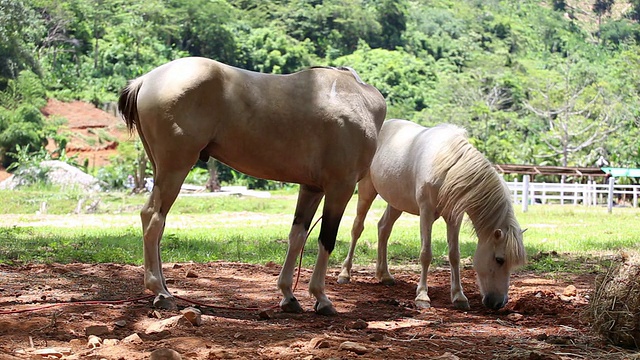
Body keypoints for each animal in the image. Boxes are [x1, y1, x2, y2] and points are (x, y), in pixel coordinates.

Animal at [118, 57, 388, 316]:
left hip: (160, 168)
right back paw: (161, 292)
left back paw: (164, 289)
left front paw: (288, 295)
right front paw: (321, 298)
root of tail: (146, 80)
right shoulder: (340, 187)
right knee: (153, 218)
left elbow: (297, 236)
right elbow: (326, 240)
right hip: (174, 168)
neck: (358, 98)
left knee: (157, 222)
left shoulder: (312, 188)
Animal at [338, 119, 528, 310]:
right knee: (357, 228)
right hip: (366, 190)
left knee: (383, 228)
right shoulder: (426, 212)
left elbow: (454, 255)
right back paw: (345, 274)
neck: (447, 165)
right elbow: (426, 253)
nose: (499, 303)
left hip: (396, 203)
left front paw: (459, 296)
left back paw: (384, 275)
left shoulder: (454, 217)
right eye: (499, 259)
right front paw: (422, 296)